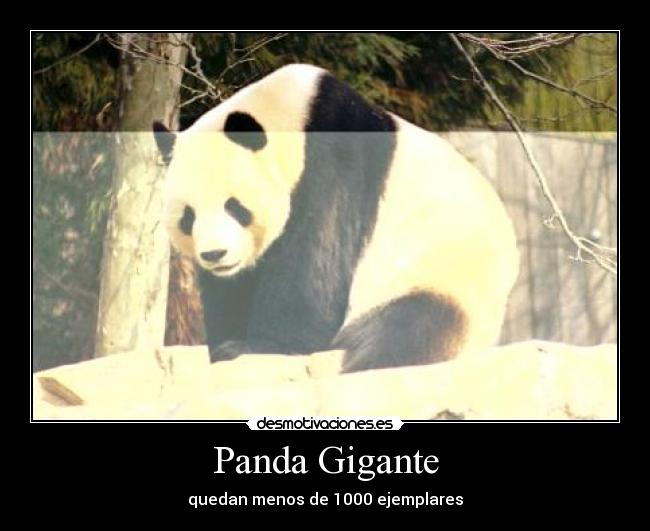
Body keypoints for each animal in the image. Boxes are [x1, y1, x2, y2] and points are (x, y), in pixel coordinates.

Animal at [153, 64, 519, 373]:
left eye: (235, 206)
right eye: (188, 217)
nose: (215, 255)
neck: (295, 111)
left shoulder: (333, 169)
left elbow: (314, 266)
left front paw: (256, 347)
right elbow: (234, 287)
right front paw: (225, 344)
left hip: (440, 273)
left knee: (408, 328)